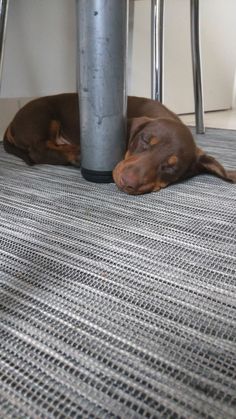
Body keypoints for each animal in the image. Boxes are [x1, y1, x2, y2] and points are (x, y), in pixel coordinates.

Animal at [2, 92, 235, 194]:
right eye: (144, 140)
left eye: (171, 167)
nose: (126, 182)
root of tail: (12, 122)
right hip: (43, 116)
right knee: (38, 150)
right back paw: (76, 153)